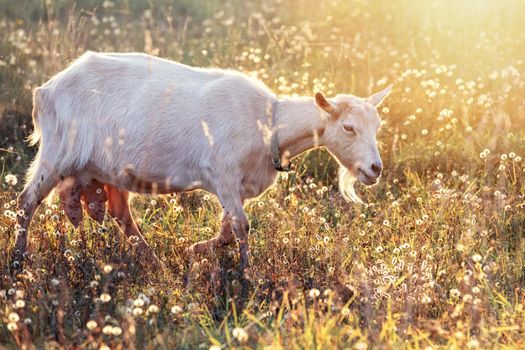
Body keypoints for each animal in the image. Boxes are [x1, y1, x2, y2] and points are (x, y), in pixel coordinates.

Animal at [14, 51, 390, 270]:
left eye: (377, 126)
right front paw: (246, 275)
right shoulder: (222, 174)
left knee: (122, 213)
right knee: (26, 200)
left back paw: (154, 261)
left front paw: (197, 250)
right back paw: (18, 260)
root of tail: (45, 90)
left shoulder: (235, 187)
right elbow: (241, 227)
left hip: (106, 170)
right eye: (349, 127)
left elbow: (227, 228)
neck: (269, 122)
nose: (375, 169)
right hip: (58, 153)